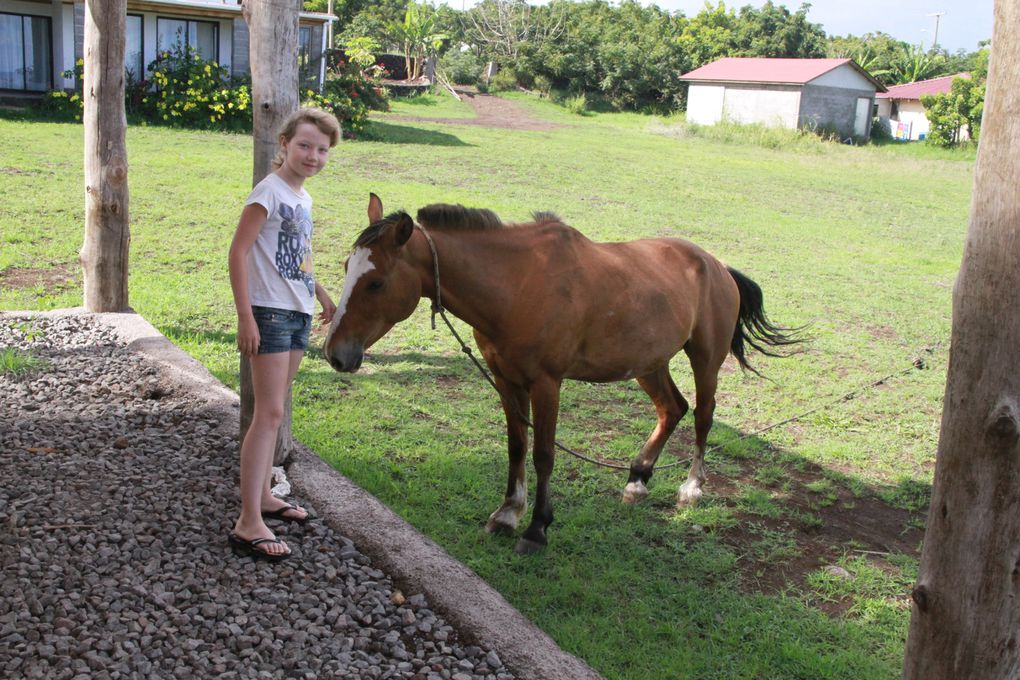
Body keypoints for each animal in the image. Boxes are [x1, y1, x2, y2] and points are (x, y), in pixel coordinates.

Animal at [324, 195, 795, 554]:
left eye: (377, 283)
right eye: (347, 267)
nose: (335, 354)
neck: (517, 286)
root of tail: (717, 265)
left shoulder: (546, 384)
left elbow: (544, 454)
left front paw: (536, 528)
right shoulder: (506, 380)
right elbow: (516, 446)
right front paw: (507, 514)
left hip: (705, 359)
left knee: (702, 415)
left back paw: (691, 488)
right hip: (649, 363)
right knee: (671, 409)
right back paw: (637, 479)